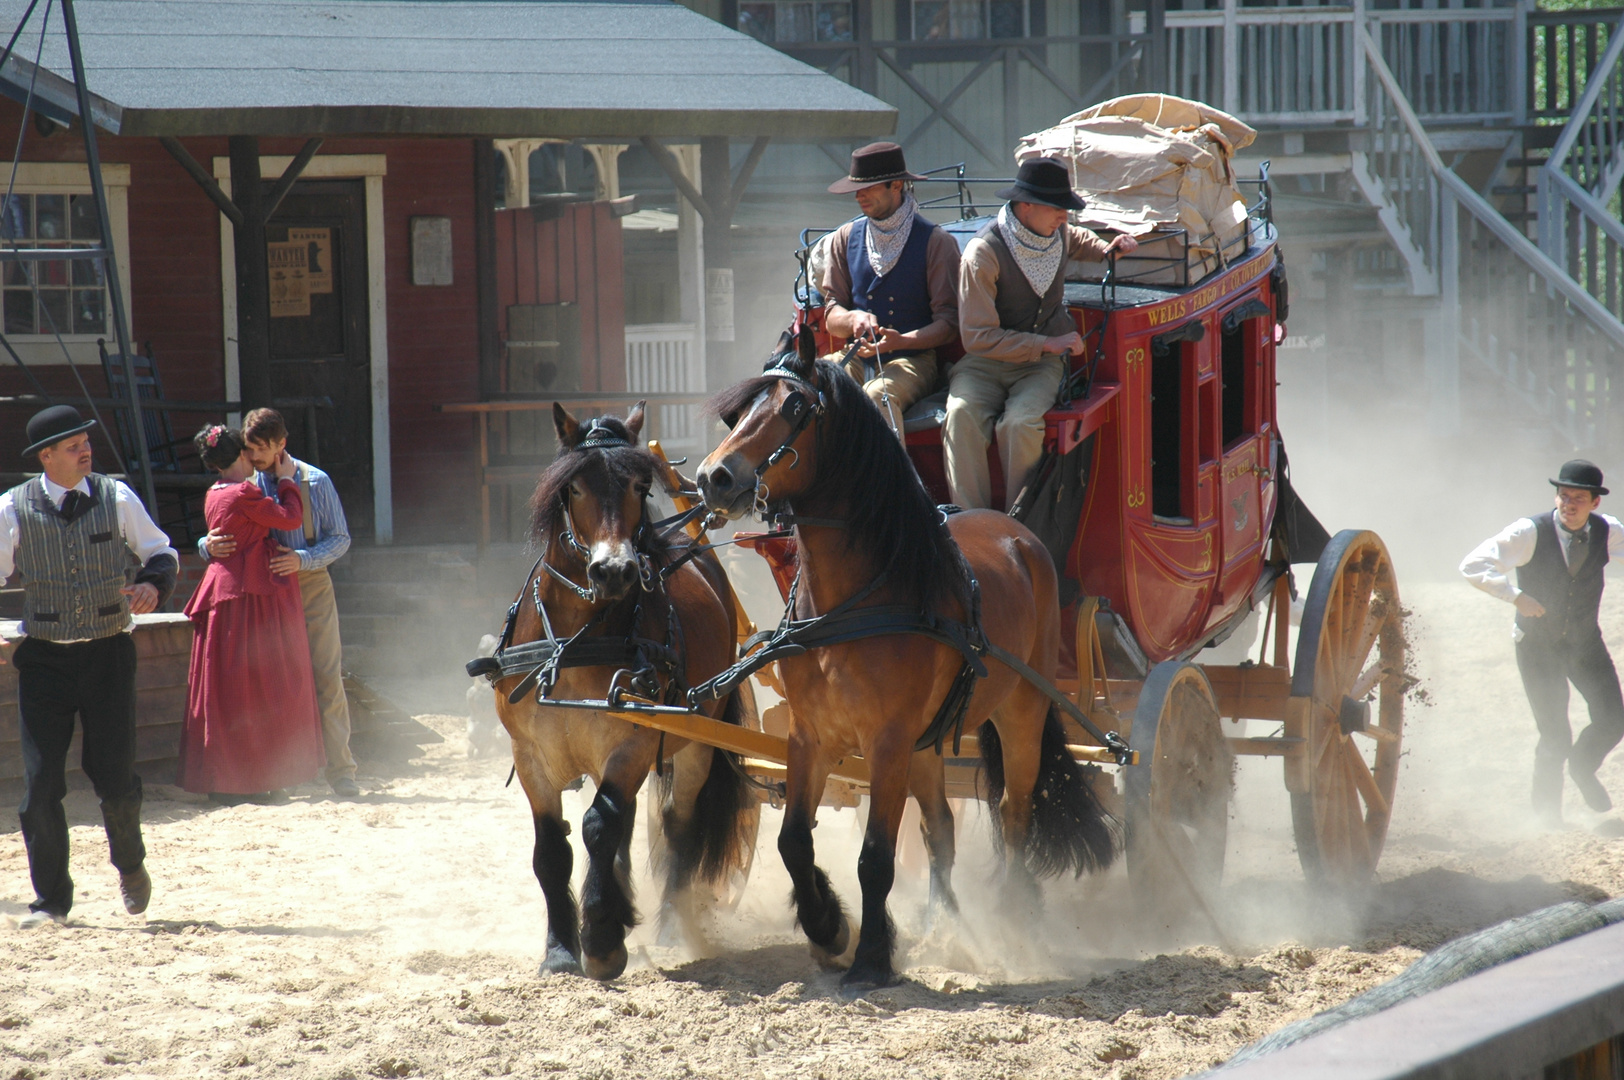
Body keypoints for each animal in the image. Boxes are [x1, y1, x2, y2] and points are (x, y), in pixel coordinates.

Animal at [490, 402, 756, 974]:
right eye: (574, 487)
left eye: (639, 485)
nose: (614, 571)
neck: (573, 641)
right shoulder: (530, 754)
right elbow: (553, 848)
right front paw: (560, 950)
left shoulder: (633, 741)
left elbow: (598, 827)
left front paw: (602, 940)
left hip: (696, 742)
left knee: (676, 826)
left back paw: (670, 926)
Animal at [698, 331, 1117, 993]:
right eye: (737, 413)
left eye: (795, 408)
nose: (713, 476)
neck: (856, 600)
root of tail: (1017, 532)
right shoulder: (810, 735)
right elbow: (794, 842)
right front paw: (828, 927)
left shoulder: (887, 740)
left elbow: (876, 856)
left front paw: (870, 957)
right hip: (926, 743)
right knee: (940, 827)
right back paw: (943, 924)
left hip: (1020, 712)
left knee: (1014, 811)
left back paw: (1015, 913)